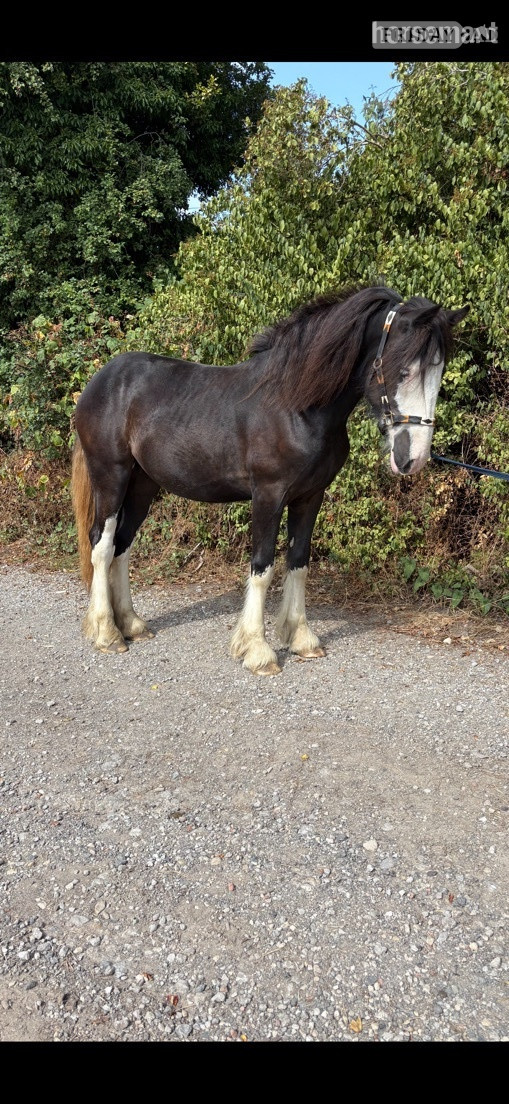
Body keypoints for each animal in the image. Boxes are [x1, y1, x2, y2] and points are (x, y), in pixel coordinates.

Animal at [71, 285, 468, 675]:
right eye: (404, 370)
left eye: (439, 372)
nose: (413, 458)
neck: (296, 406)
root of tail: (101, 381)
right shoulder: (268, 495)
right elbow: (262, 567)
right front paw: (257, 650)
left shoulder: (310, 496)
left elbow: (299, 561)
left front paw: (302, 639)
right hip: (111, 476)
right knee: (101, 543)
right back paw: (107, 633)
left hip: (143, 484)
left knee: (123, 544)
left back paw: (131, 624)